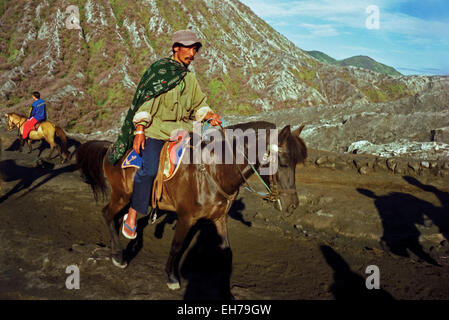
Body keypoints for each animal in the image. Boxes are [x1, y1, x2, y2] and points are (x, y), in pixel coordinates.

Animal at [76, 120, 308, 290]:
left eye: (297, 164)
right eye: (283, 163)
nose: (292, 205)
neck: (214, 171)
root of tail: (110, 147)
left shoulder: (219, 218)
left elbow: (225, 249)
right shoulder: (186, 217)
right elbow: (177, 246)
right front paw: (171, 277)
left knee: (116, 217)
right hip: (121, 196)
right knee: (107, 214)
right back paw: (118, 255)